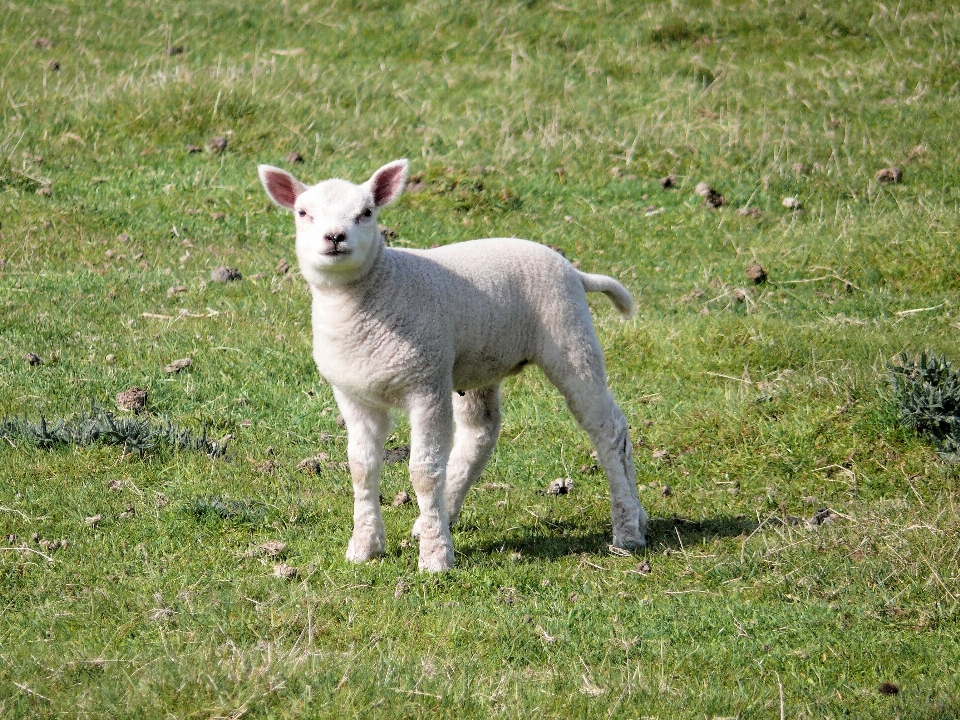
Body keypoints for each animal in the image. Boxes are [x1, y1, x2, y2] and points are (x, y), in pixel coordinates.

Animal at [255, 160, 648, 572]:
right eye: (303, 213)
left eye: (367, 212)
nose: (335, 237)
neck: (373, 296)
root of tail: (573, 271)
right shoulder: (353, 395)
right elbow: (361, 467)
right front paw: (364, 547)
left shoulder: (426, 385)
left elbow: (424, 471)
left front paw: (435, 557)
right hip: (478, 361)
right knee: (481, 432)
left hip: (570, 336)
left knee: (608, 428)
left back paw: (627, 528)